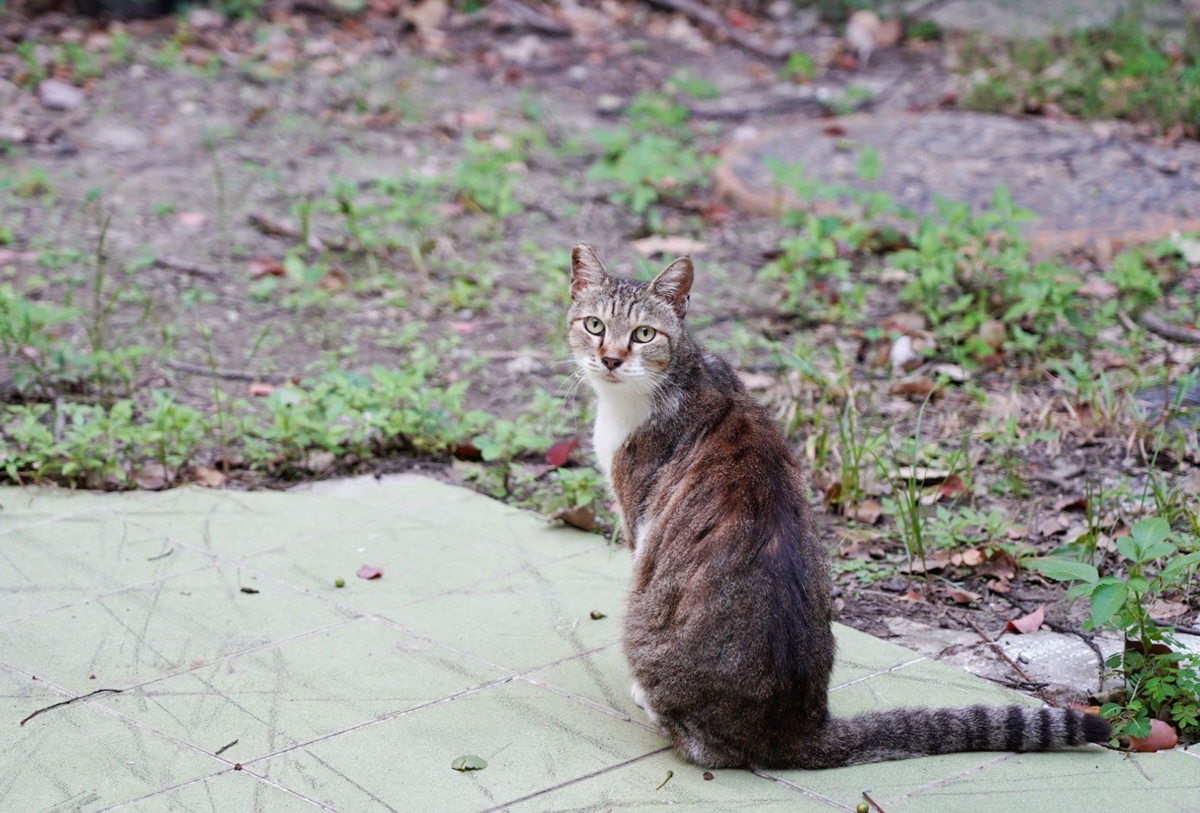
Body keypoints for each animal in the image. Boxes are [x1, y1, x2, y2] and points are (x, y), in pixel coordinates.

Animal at [561, 245, 1104, 772]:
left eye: (643, 334)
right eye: (595, 325)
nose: (610, 359)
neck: (677, 375)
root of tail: (796, 730)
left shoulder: (638, 518)